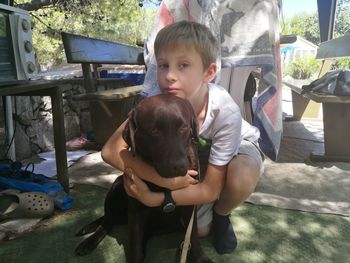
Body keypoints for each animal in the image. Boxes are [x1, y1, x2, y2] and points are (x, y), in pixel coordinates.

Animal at [75, 95, 212, 263]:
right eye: (154, 131)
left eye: (183, 128)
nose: (179, 166)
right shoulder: (136, 210)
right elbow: (135, 247)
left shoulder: (189, 205)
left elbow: (192, 236)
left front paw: (201, 258)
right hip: (117, 185)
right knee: (107, 220)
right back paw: (89, 242)